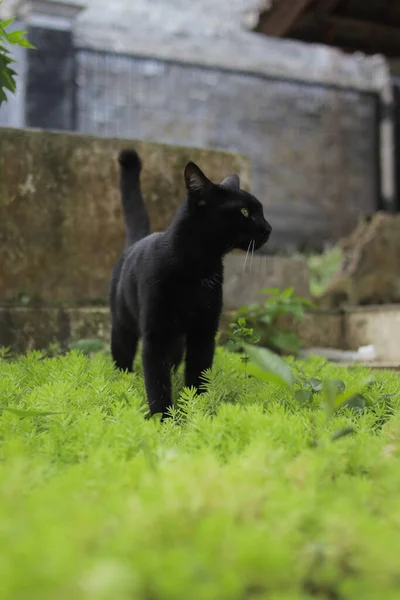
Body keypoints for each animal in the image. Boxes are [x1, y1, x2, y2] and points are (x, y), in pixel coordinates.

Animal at [109, 150, 272, 420]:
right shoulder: (155, 336)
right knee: (122, 358)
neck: (198, 266)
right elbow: (157, 382)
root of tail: (135, 242)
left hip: (176, 341)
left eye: (260, 211)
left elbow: (198, 373)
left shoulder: (204, 332)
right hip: (123, 325)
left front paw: (197, 411)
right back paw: (121, 382)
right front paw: (163, 419)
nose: (269, 228)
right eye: (245, 212)